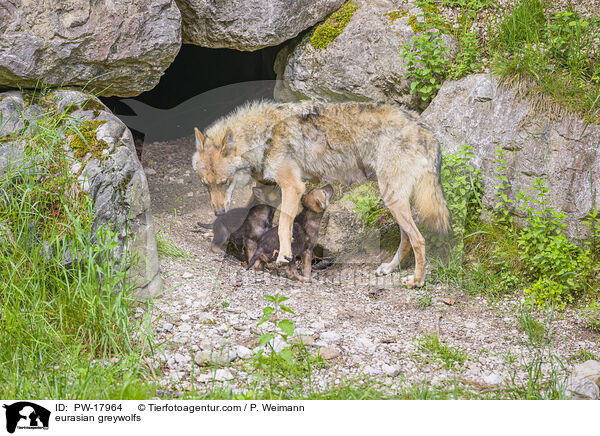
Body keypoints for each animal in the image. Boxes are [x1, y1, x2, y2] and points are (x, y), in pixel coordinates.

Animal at [192, 100, 450, 288]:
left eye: (225, 182)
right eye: (206, 185)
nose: (218, 212)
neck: (264, 138)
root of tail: (424, 127)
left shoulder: (293, 187)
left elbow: (284, 224)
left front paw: (284, 254)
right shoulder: (269, 186)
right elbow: (249, 211)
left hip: (392, 199)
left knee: (419, 240)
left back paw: (417, 281)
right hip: (393, 201)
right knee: (407, 239)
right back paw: (390, 268)